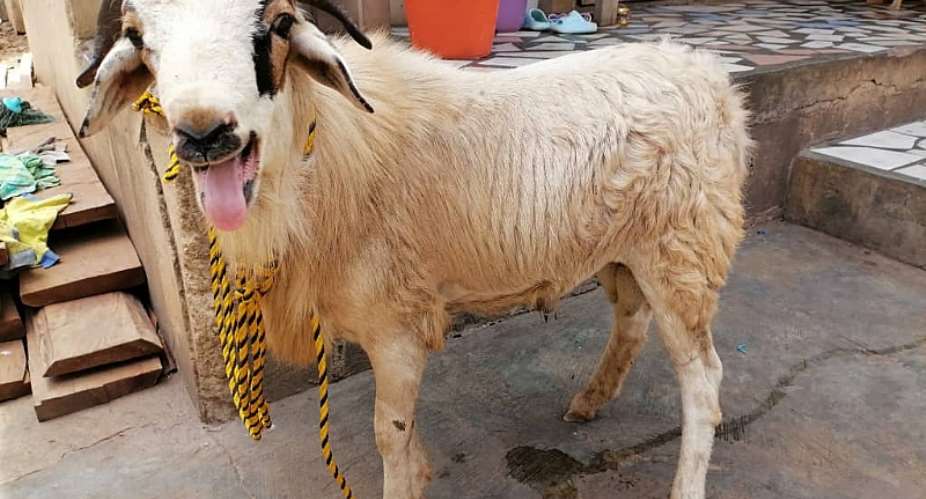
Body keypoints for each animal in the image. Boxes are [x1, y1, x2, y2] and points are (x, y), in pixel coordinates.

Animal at [77, 1, 751, 498]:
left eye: (277, 26)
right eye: (138, 37)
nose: (203, 133)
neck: (321, 154)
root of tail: (708, 73)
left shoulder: (396, 324)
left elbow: (387, 433)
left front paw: (407, 477)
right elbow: (401, 435)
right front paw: (422, 467)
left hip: (684, 250)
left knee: (703, 381)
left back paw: (685, 482)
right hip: (626, 249)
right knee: (631, 321)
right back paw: (588, 401)